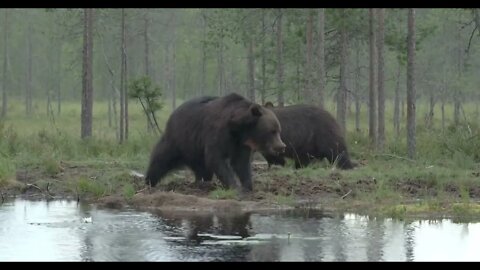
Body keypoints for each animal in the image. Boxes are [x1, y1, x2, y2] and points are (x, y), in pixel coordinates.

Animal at [142, 93, 284, 192]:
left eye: (278, 130)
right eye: (272, 131)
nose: (281, 146)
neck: (239, 129)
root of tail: (173, 113)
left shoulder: (241, 144)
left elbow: (241, 163)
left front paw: (248, 186)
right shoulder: (217, 133)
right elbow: (216, 158)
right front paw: (234, 186)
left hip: (195, 149)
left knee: (202, 168)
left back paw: (203, 181)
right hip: (180, 139)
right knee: (161, 158)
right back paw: (149, 181)